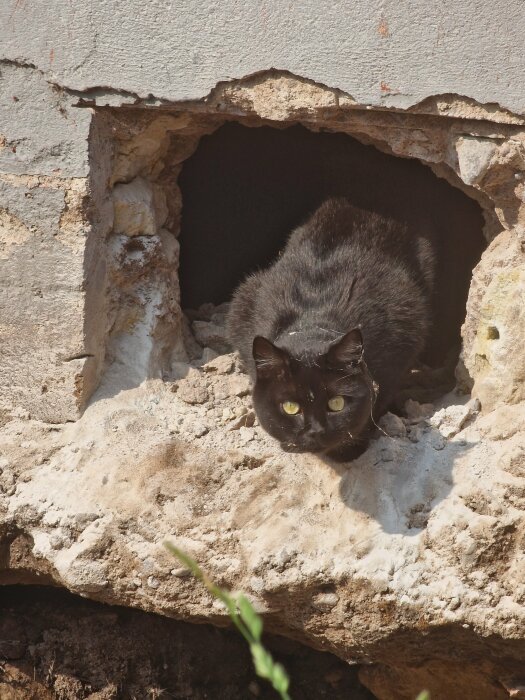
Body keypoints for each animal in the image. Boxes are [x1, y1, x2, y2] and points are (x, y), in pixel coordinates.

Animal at [227, 198, 436, 460]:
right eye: (290, 408)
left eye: (337, 404)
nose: (315, 431)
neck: (312, 322)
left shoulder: (403, 335)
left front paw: (351, 450)